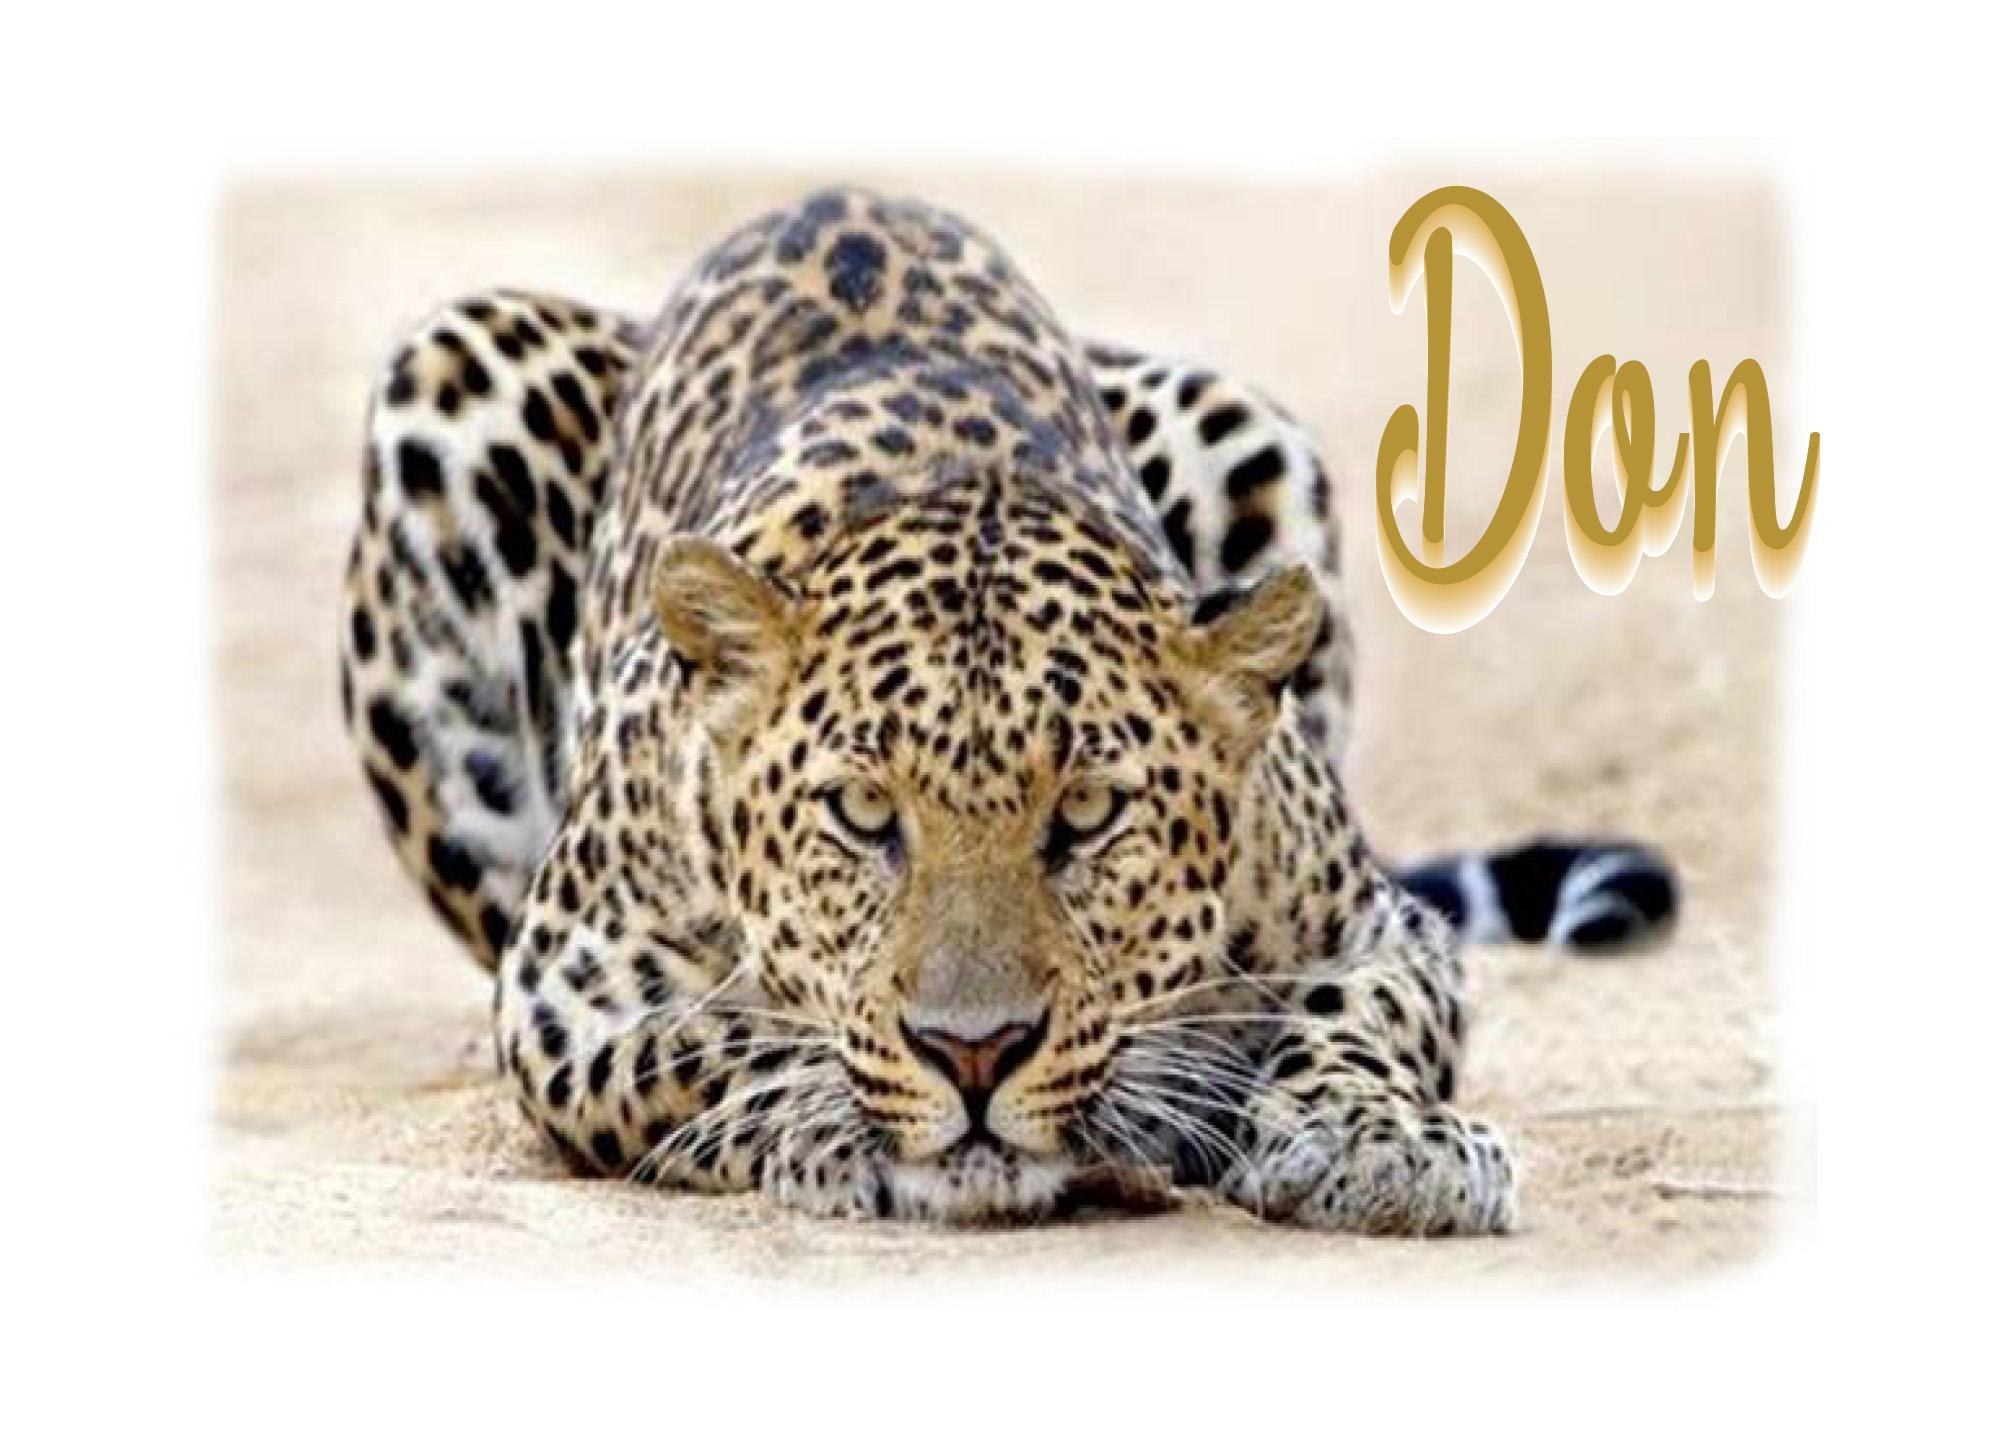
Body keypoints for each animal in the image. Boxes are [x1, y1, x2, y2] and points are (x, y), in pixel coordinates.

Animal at [338, 186, 1676, 1233]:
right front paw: (831, 1118)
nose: (973, 1053)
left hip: (1243, 424)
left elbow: (1360, 1015)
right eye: (861, 814)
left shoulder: (1374, 925)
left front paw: (1377, 1141)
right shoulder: (564, 993)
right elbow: (712, 1043)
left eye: (1085, 816)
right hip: (450, 369)